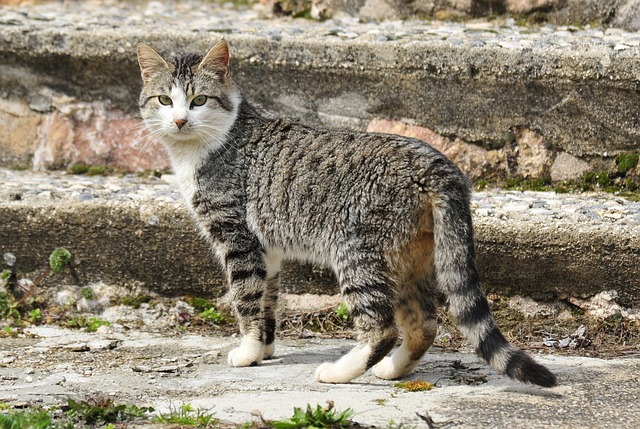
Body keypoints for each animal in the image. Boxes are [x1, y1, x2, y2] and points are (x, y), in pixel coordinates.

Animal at [136, 40, 556, 386]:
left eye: (199, 100)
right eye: (163, 101)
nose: (179, 121)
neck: (204, 146)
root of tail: (436, 164)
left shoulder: (237, 237)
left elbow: (246, 297)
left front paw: (248, 350)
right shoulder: (266, 248)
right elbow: (268, 299)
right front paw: (264, 350)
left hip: (356, 251)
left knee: (382, 329)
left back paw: (340, 372)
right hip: (408, 257)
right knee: (424, 324)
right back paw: (391, 369)